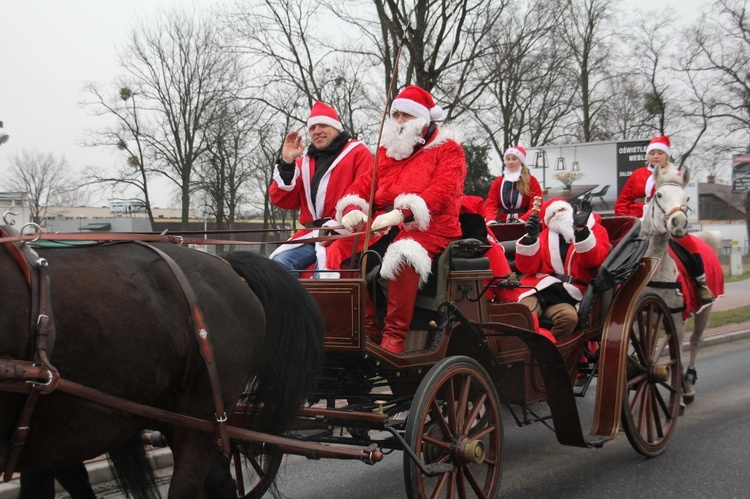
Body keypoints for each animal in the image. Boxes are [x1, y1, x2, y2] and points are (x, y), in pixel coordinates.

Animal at [640, 166, 724, 408]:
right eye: (659, 195)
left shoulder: (676, 318)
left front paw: (676, 399)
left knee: (696, 341)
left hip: (705, 311)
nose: (678, 223)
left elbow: (675, 349)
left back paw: (687, 385)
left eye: (686, 198)